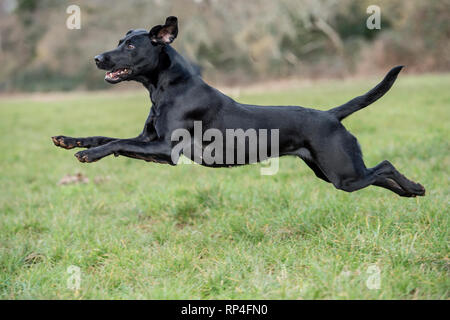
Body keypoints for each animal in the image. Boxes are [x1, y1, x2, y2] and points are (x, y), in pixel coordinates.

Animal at [51, 17, 426, 199]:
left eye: (130, 45)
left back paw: (414, 187)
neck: (166, 87)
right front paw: (69, 141)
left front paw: (88, 156)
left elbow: (115, 143)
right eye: (119, 41)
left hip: (343, 174)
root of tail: (331, 114)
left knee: (386, 166)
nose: (97, 58)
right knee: (379, 176)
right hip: (332, 172)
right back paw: (411, 192)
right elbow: (105, 137)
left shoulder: (166, 149)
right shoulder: (147, 141)